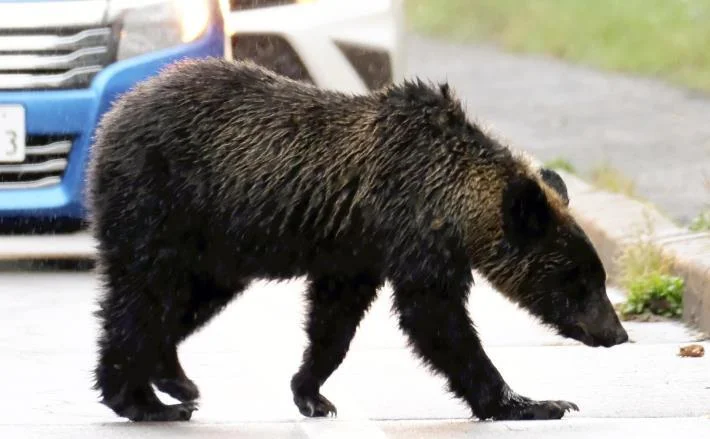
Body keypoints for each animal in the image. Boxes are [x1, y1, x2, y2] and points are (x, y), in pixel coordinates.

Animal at [87, 57, 628, 422]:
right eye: (579, 280)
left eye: (597, 276)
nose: (616, 333)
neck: (451, 197)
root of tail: (113, 115)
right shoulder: (411, 232)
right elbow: (436, 320)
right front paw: (532, 401)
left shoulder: (357, 248)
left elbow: (335, 321)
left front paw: (311, 391)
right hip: (160, 203)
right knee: (140, 299)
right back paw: (142, 400)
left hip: (215, 247)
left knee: (186, 301)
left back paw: (176, 379)